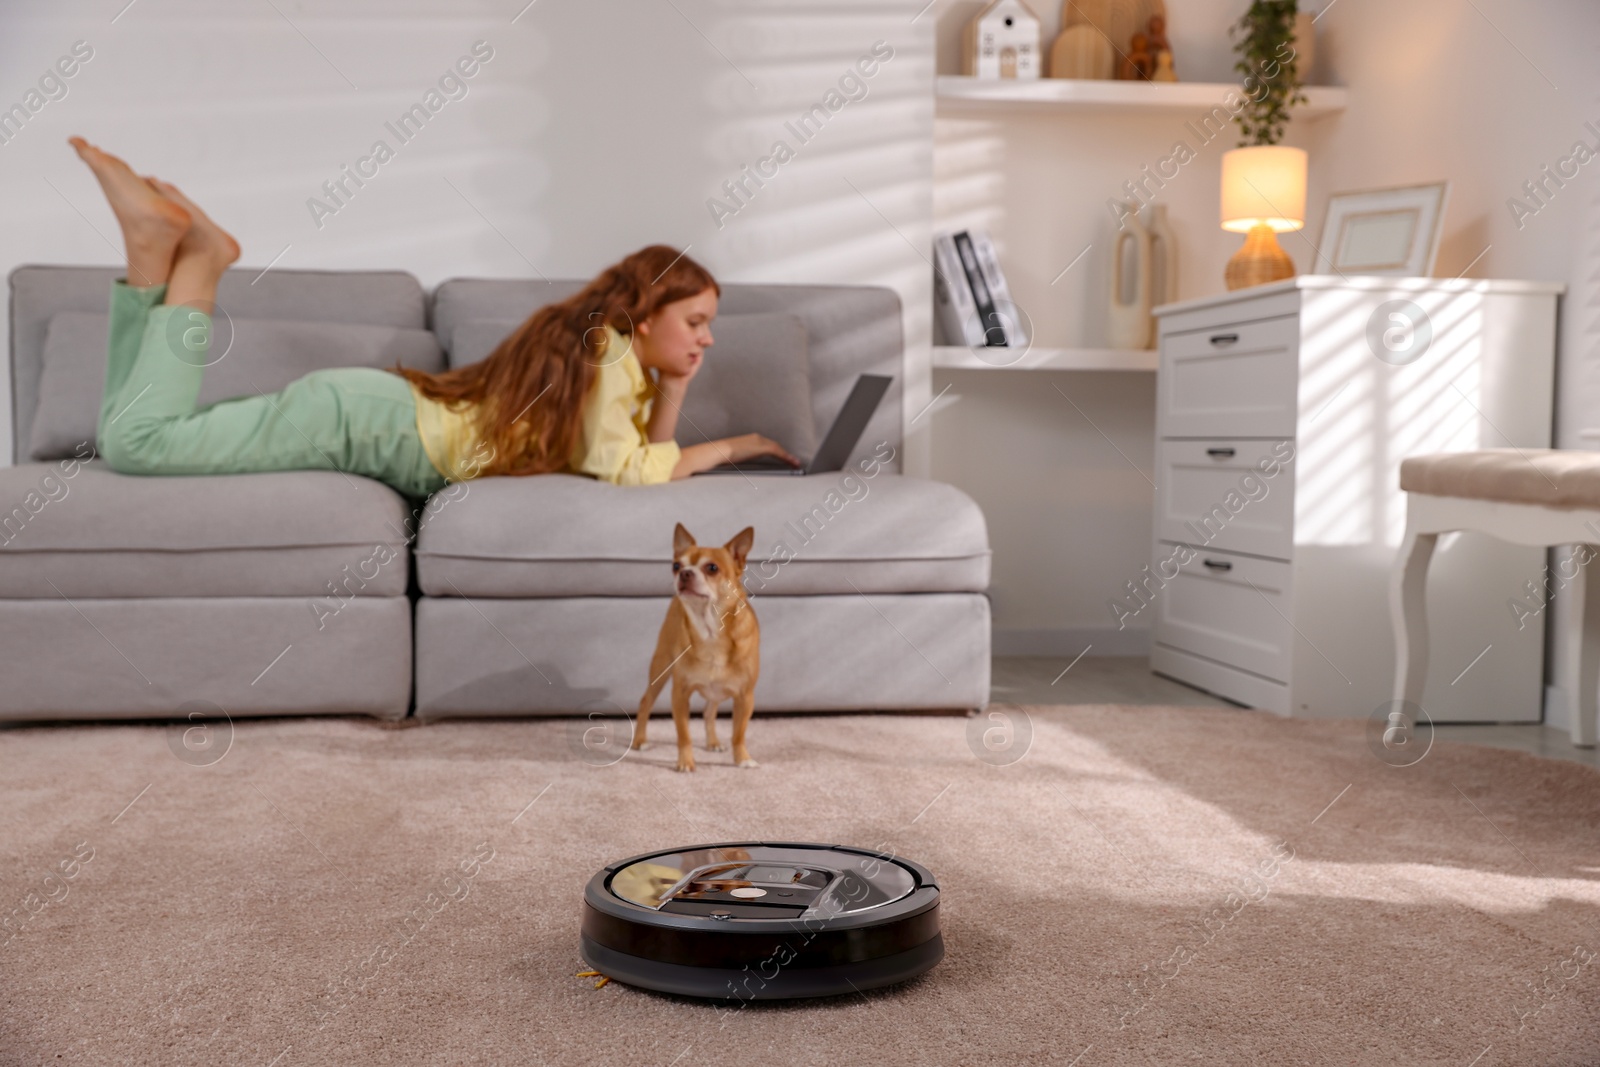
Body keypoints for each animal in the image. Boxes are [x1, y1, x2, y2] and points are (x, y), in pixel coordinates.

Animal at [630, 521, 761, 771]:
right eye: (675, 565)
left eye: (712, 568)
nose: (684, 573)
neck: (710, 630)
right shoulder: (680, 695)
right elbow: (684, 734)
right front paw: (686, 762)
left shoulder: (745, 697)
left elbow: (738, 733)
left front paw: (742, 758)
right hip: (660, 668)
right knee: (645, 702)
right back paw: (639, 741)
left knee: (709, 712)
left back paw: (713, 742)